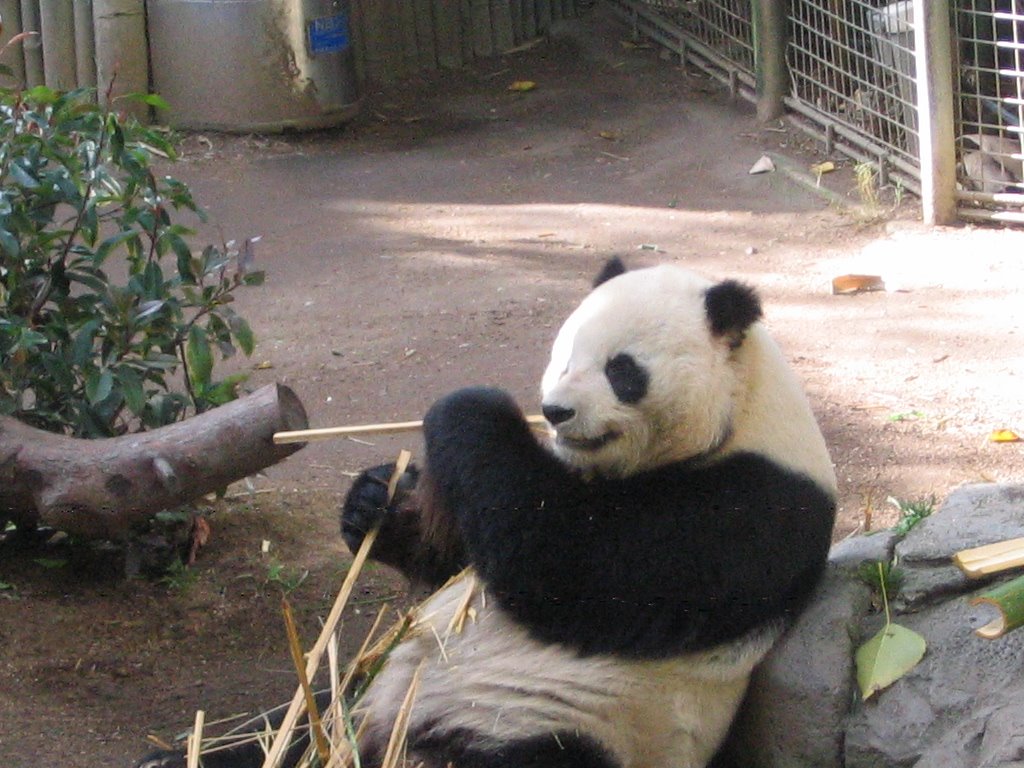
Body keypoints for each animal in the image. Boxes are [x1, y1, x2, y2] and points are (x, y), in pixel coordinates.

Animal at [134, 259, 831, 768]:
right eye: (563, 353)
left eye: (622, 370)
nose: (554, 411)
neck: (742, 408)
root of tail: (379, 736)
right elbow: (458, 555)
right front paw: (378, 498)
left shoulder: (757, 505)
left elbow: (573, 563)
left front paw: (470, 408)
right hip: (356, 695)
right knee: (279, 726)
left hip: (558, 723)